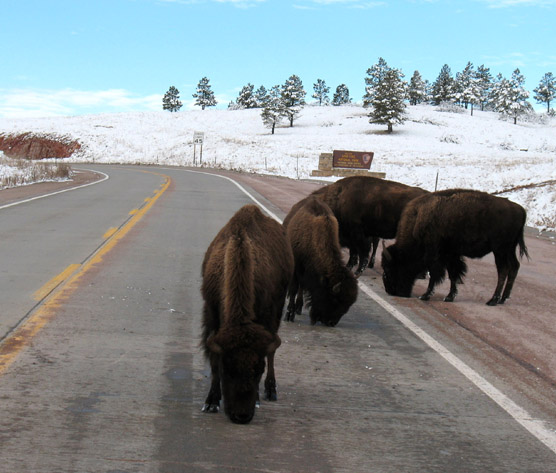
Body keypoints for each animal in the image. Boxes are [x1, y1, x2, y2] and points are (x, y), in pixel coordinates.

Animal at [201, 205, 296, 422]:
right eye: (227, 369)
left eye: (258, 370)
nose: (242, 416)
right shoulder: (211, 315)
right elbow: (213, 358)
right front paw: (211, 402)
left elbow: (268, 352)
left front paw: (259, 396)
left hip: (278, 308)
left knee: (272, 352)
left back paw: (270, 391)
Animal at [284, 195, 358, 324]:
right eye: (335, 300)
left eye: (348, 305)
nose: (331, 323)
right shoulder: (296, 270)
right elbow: (293, 289)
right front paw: (288, 315)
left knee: (302, 288)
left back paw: (299, 307)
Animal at [382, 189, 528, 306]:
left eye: (391, 268)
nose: (391, 291)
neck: (418, 221)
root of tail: (520, 209)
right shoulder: (451, 255)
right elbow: (453, 274)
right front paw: (449, 297)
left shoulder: (436, 256)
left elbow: (437, 274)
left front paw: (425, 295)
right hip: (509, 250)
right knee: (514, 267)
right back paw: (503, 298)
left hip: (500, 250)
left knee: (503, 270)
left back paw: (493, 300)